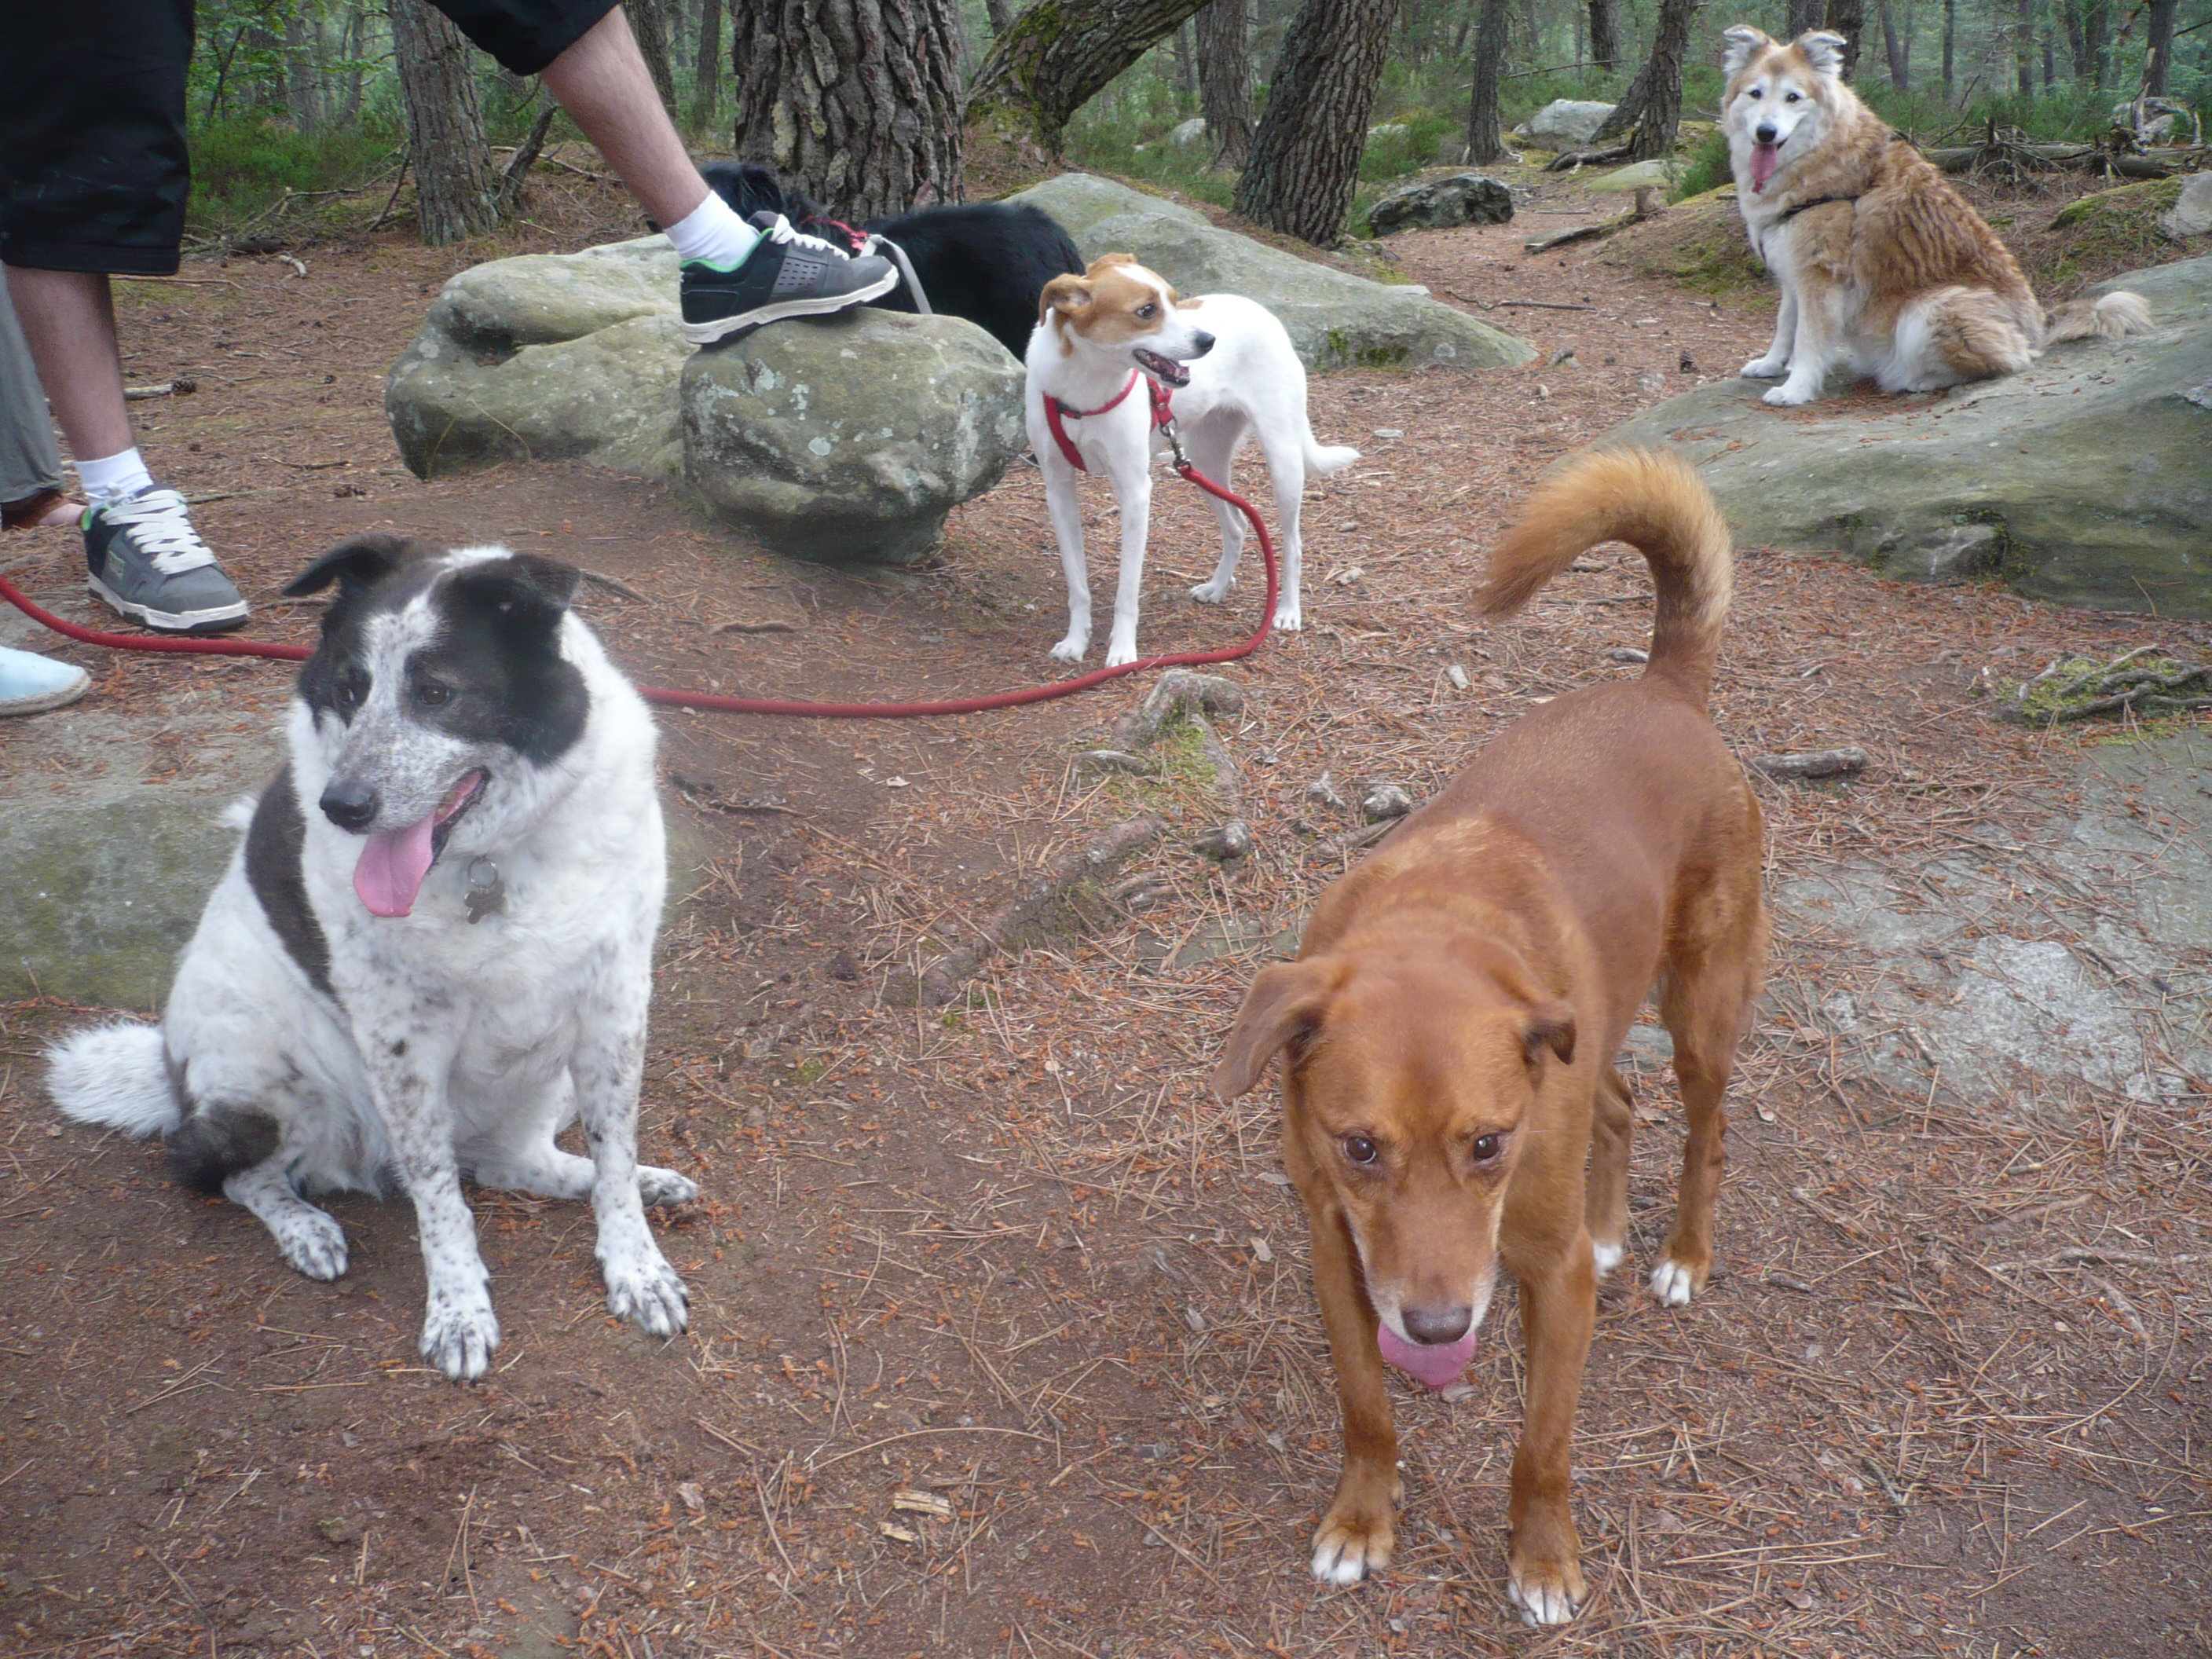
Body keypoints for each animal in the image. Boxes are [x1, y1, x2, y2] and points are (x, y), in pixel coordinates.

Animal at [52, 540, 694, 1380]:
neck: (491, 861)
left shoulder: (613, 1008)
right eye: (350, 690)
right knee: (232, 1172)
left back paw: (643, 1184)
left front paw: (636, 1262)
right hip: (272, 1078)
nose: (342, 807)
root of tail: (171, 1074)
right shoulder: (401, 1045)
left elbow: (613, 1155)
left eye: (437, 693)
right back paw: (306, 1229)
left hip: (544, 1082)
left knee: (517, 1164)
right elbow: (437, 1199)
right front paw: (458, 1310)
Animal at [1021, 252, 1362, 663]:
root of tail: (1262, 310)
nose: (1208, 340)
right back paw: (1218, 588)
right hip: (1203, 462)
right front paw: (1076, 641)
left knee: (1292, 545)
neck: (1085, 384)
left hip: (1282, 461)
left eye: (1174, 299)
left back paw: (1287, 611)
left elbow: (1126, 592)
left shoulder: (1136, 494)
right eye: (1147, 310)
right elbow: (1077, 584)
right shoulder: (1059, 491)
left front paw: (1123, 651)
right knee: (1237, 527)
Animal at [1212, 449, 1760, 1628]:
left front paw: (1544, 1560)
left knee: (1703, 1131)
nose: (1432, 1328)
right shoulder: (1339, 1255)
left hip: (1703, 1008)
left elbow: (1542, 1447)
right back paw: (1610, 1223)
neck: (1431, 923)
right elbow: (1365, 1408)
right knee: (1617, 1103)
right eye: (1357, 1147)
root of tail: (1663, 684)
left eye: (1486, 1144)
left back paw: (1681, 1255)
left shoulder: (1551, 1285)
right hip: (1583, 1039)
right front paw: (1362, 1518)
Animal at [1716, 25, 2150, 407]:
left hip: (1932, 308)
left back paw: (1918, 379)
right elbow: (1785, 325)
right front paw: (1772, 364)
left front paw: (1796, 389)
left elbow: (1809, 339)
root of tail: (2038, 329)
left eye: (1793, 97)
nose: (1765, 133)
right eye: (1755, 93)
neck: (1818, 159)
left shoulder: (1819, 276)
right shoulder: (1793, 270)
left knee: (2010, 361)